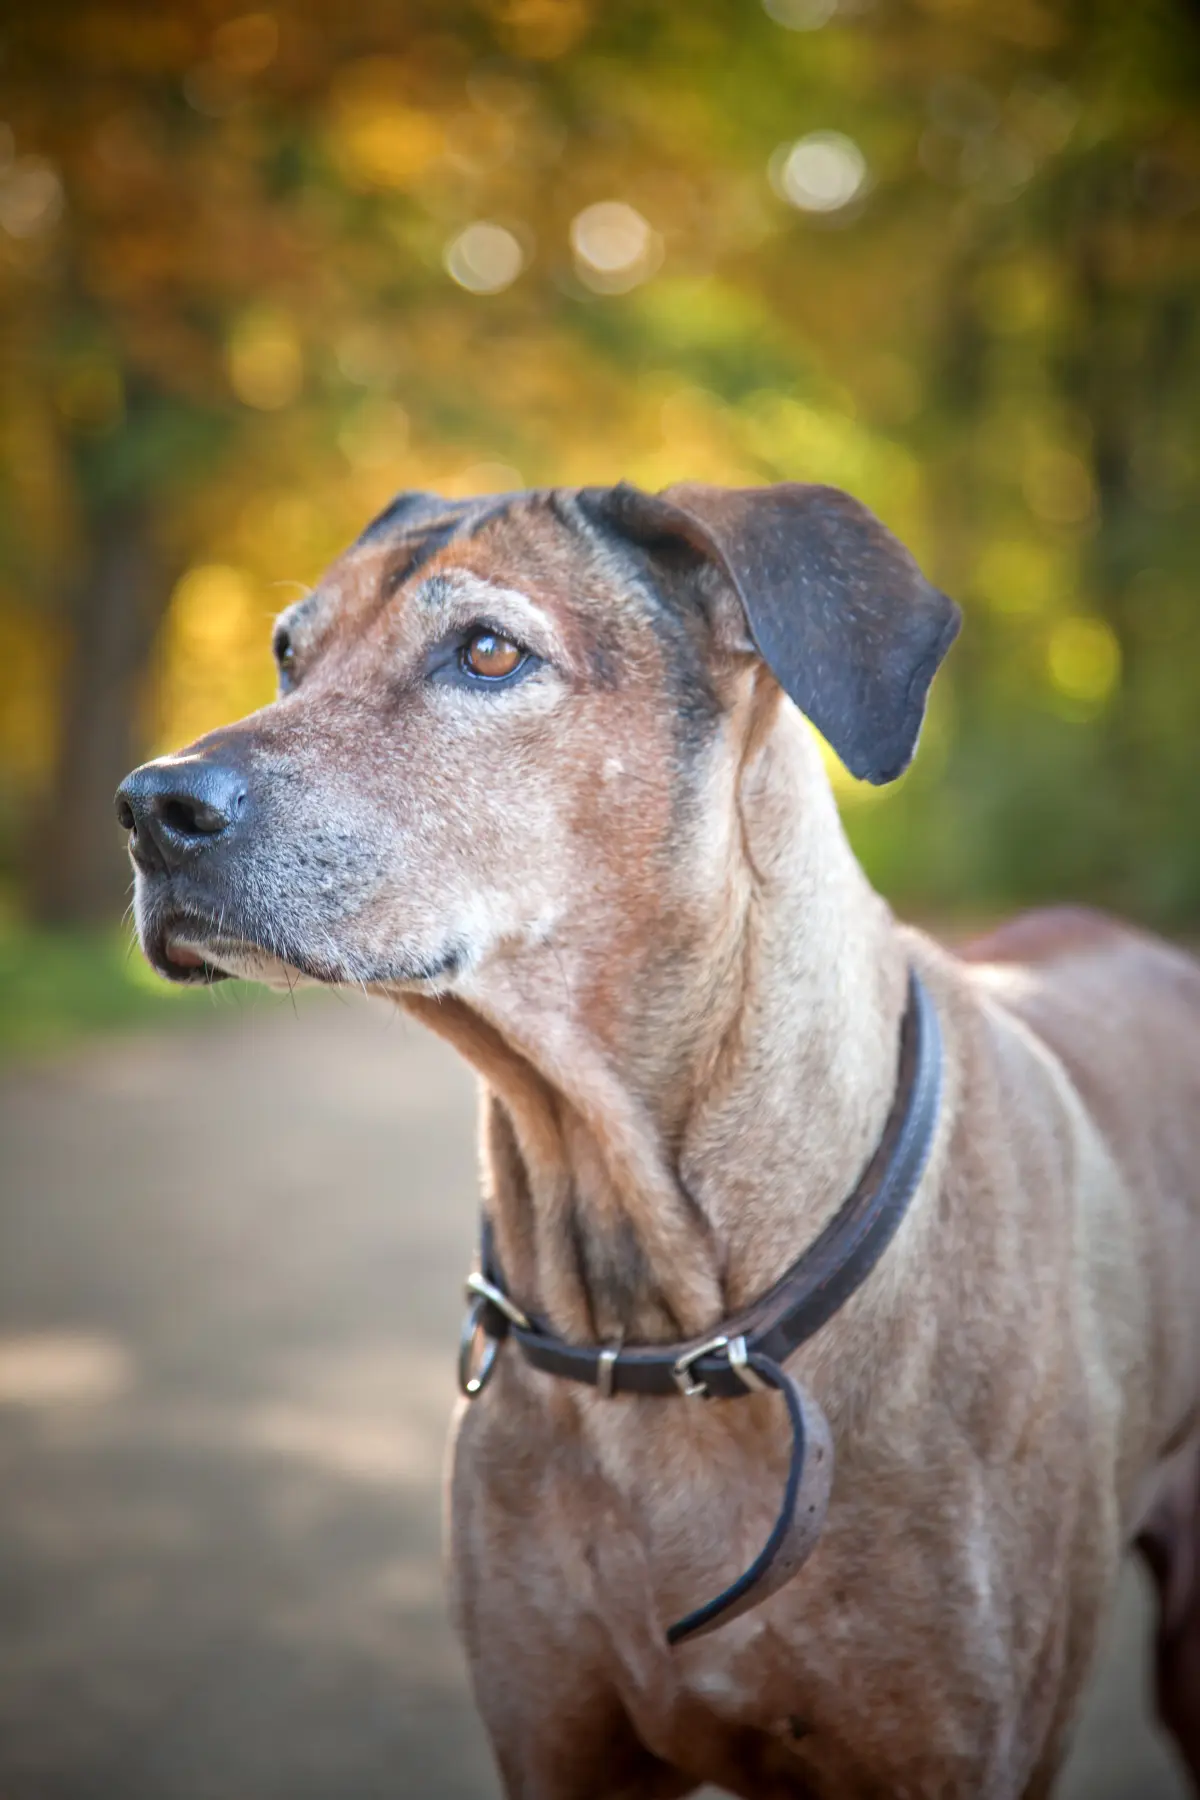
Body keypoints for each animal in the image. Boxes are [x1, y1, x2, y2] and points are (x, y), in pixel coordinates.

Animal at [116, 482, 1200, 1800]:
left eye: (488, 651)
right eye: (289, 653)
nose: (150, 810)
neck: (668, 1318)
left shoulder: (956, 1751)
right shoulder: (558, 1741)